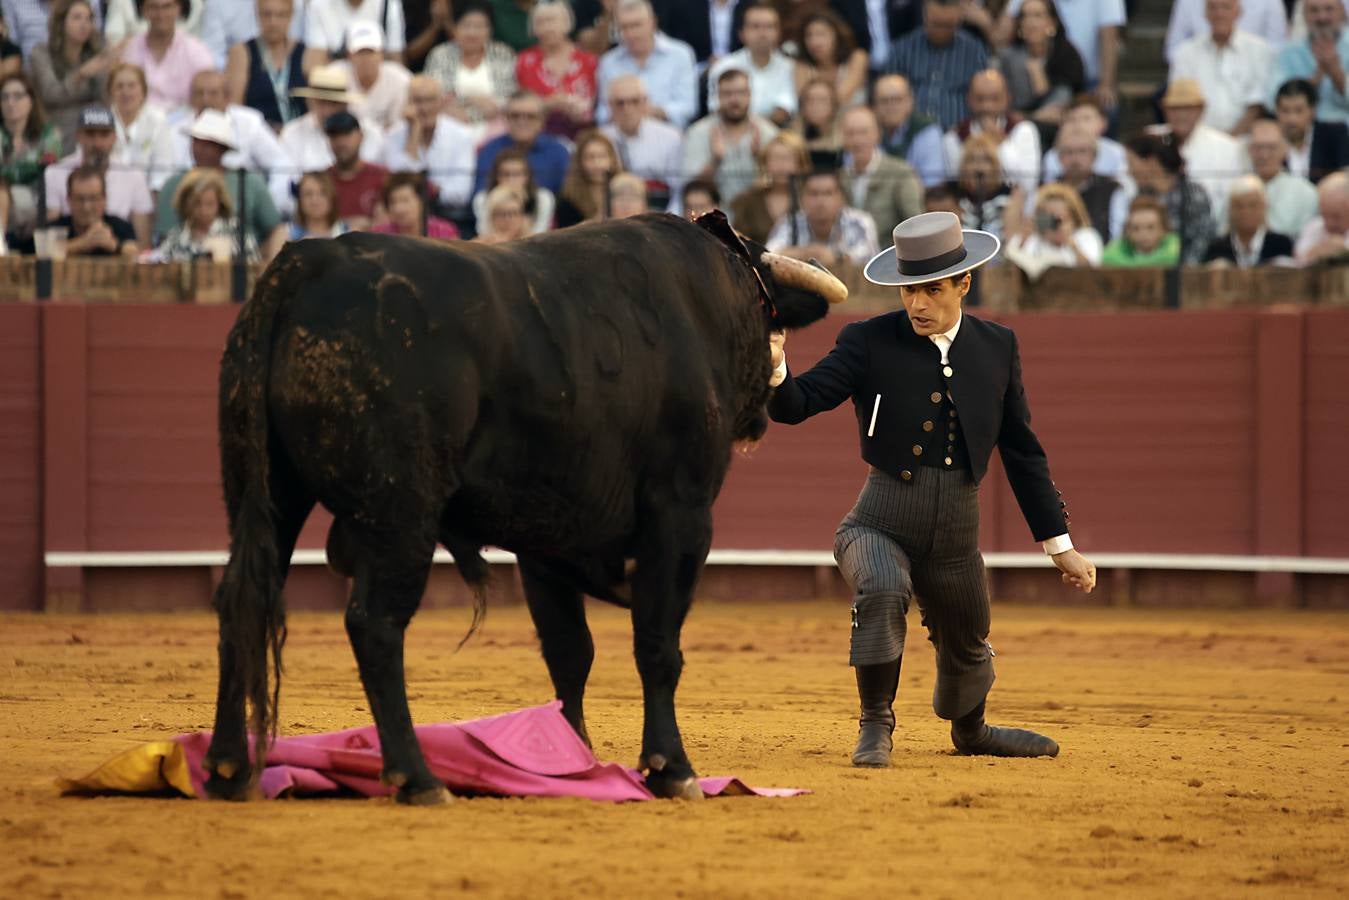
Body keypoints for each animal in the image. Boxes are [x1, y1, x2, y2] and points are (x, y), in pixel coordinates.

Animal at [202, 213, 841, 804]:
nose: (765, 413)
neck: (709, 294)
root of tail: (307, 264)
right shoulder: (680, 515)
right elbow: (657, 644)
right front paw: (671, 769)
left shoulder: (544, 540)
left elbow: (569, 654)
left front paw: (575, 764)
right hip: (400, 510)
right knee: (375, 622)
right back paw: (417, 777)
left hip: (264, 491)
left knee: (241, 598)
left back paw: (227, 767)